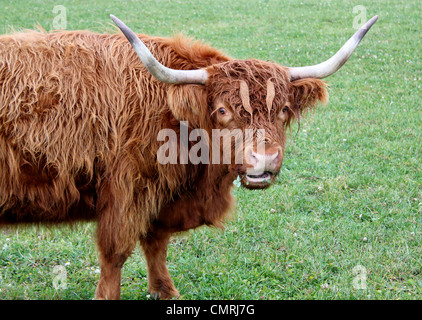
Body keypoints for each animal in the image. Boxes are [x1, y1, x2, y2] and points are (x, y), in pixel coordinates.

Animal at [0, 15, 378, 298]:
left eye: (283, 108)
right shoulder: (126, 193)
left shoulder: (160, 197)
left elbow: (156, 245)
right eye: (223, 110)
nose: (264, 159)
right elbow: (115, 255)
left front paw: (165, 291)